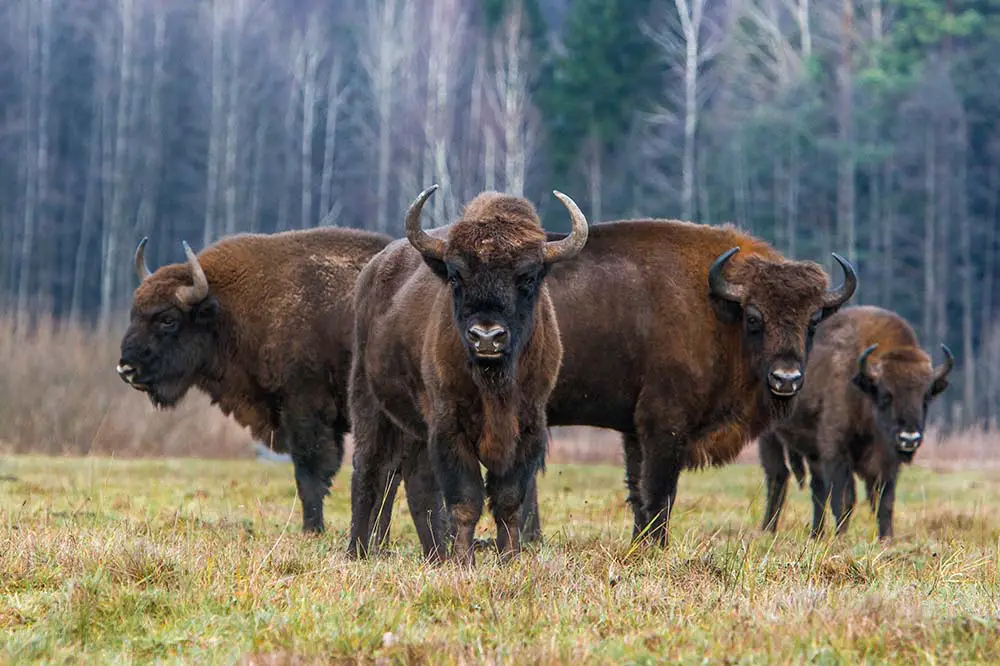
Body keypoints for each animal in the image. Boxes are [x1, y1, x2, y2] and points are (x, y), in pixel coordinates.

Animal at [116, 228, 390, 536]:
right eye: (134, 313)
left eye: (168, 319)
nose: (126, 368)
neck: (230, 310)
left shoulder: (305, 409)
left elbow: (310, 471)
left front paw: (311, 529)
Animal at [348, 184, 588, 564]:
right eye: (455, 276)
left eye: (528, 277)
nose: (486, 337)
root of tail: (372, 271)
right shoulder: (450, 427)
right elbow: (465, 500)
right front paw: (463, 561)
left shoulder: (529, 426)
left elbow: (508, 500)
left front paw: (510, 557)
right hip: (369, 402)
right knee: (369, 471)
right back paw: (356, 551)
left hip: (415, 427)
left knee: (415, 483)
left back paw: (434, 553)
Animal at [756, 304, 952, 536]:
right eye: (885, 395)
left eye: (926, 397)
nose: (909, 438)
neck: (863, 389)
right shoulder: (837, 453)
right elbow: (845, 501)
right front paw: (841, 536)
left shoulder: (887, 463)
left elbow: (884, 503)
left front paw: (887, 538)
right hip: (770, 437)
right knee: (778, 477)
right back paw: (768, 529)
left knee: (817, 488)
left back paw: (817, 534)